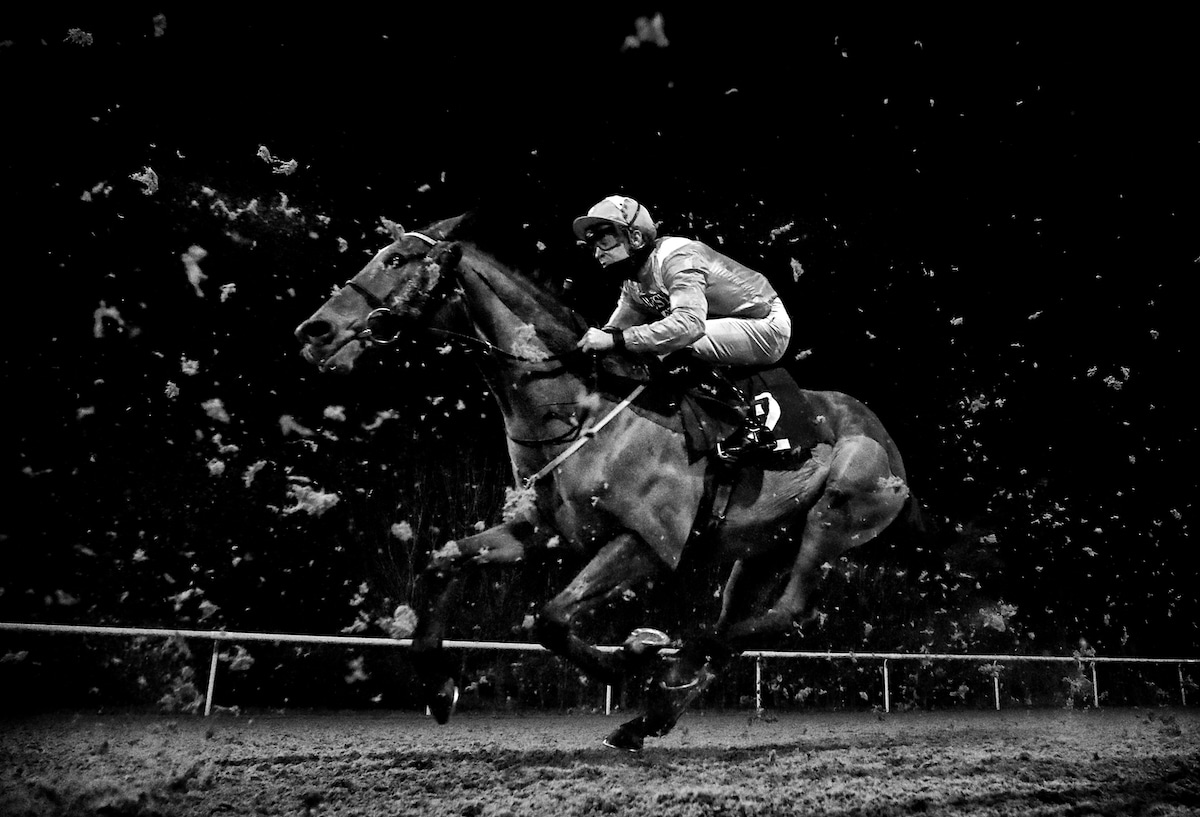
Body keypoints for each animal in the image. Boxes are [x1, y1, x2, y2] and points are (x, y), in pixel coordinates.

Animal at [295, 212, 912, 753]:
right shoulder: (546, 530)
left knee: (786, 614)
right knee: (742, 623)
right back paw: (651, 714)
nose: (314, 329)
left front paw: (627, 657)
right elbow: (447, 559)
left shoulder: (647, 542)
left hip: (834, 516)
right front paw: (439, 683)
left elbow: (550, 619)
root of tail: (882, 435)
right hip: (760, 549)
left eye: (396, 259)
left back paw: (673, 658)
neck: (582, 403)